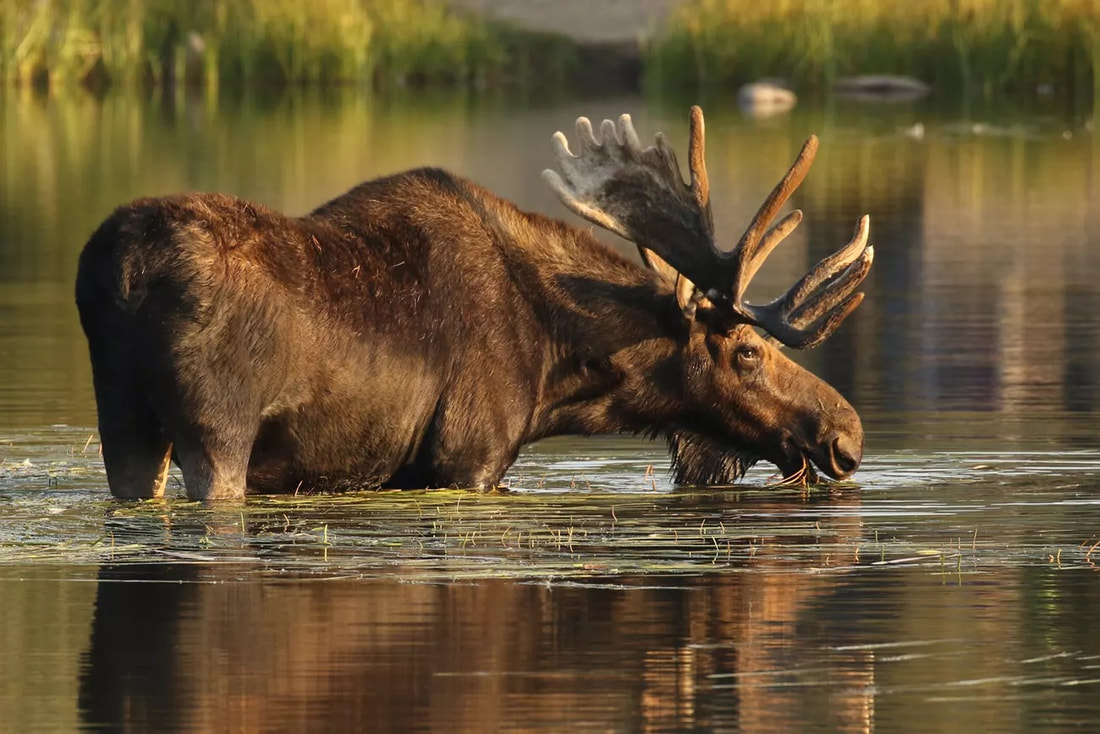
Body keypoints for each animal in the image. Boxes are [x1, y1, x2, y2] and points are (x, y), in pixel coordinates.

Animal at [73, 107, 871, 499]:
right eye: (748, 350)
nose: (849, 434)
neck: (557, 373)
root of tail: (122, 269)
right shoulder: (470, 456)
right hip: (219, 431)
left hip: (124, 421)